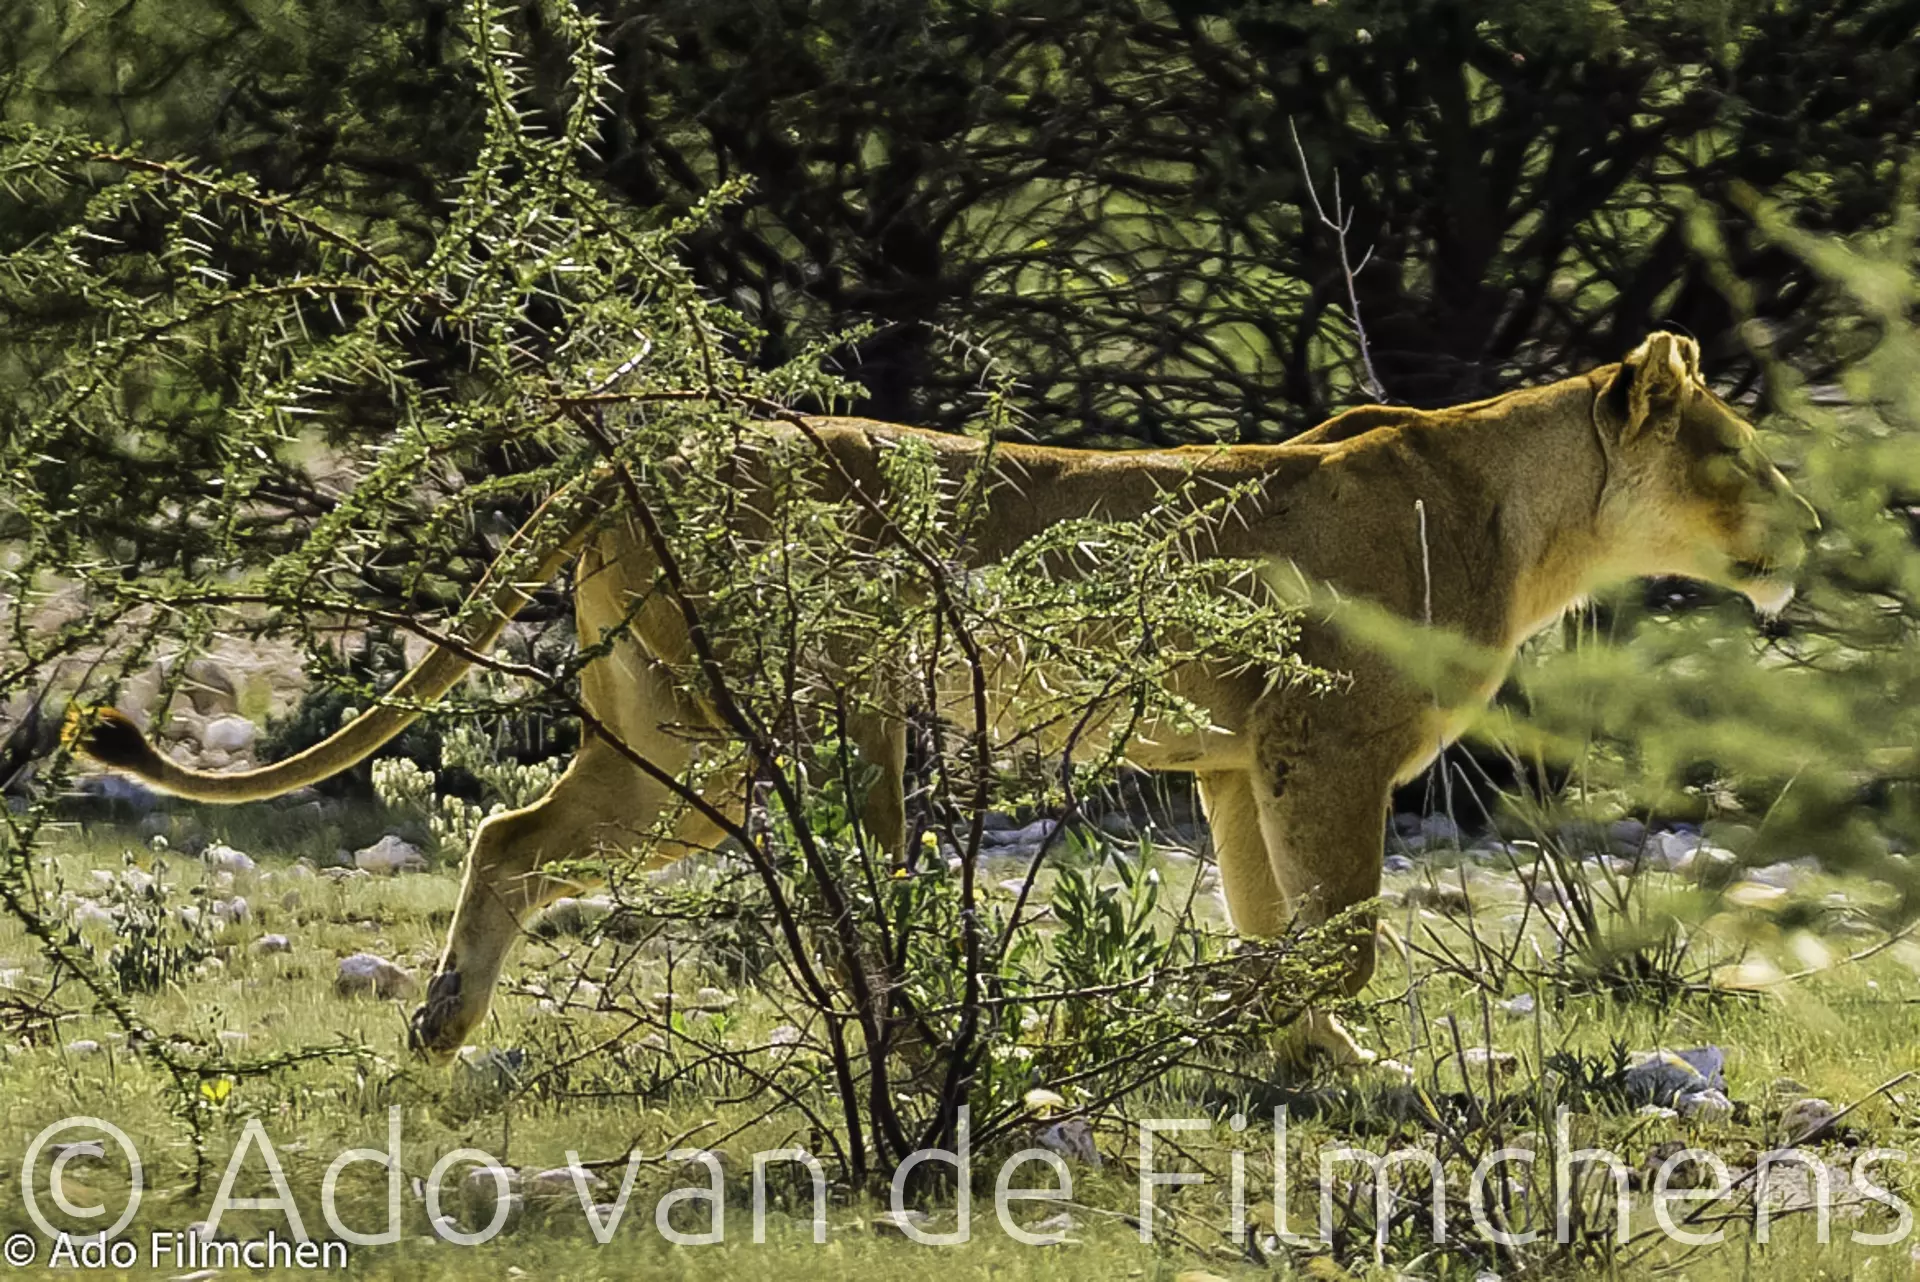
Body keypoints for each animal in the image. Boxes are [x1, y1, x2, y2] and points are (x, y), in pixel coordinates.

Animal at [75, 333, 1818, 1065]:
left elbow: (1283, 933)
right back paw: (925, 1050)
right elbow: (1340, 936)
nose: (1812, 526)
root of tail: (641, 452)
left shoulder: (1234, 761)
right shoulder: (1322, 742)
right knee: (849, 905)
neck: (1533, 516)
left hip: (660, 735)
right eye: (1741, 455)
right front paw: (1285, 1047)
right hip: (784, 720)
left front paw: (1294, 1062)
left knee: (507, 834)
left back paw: (442, 1025)